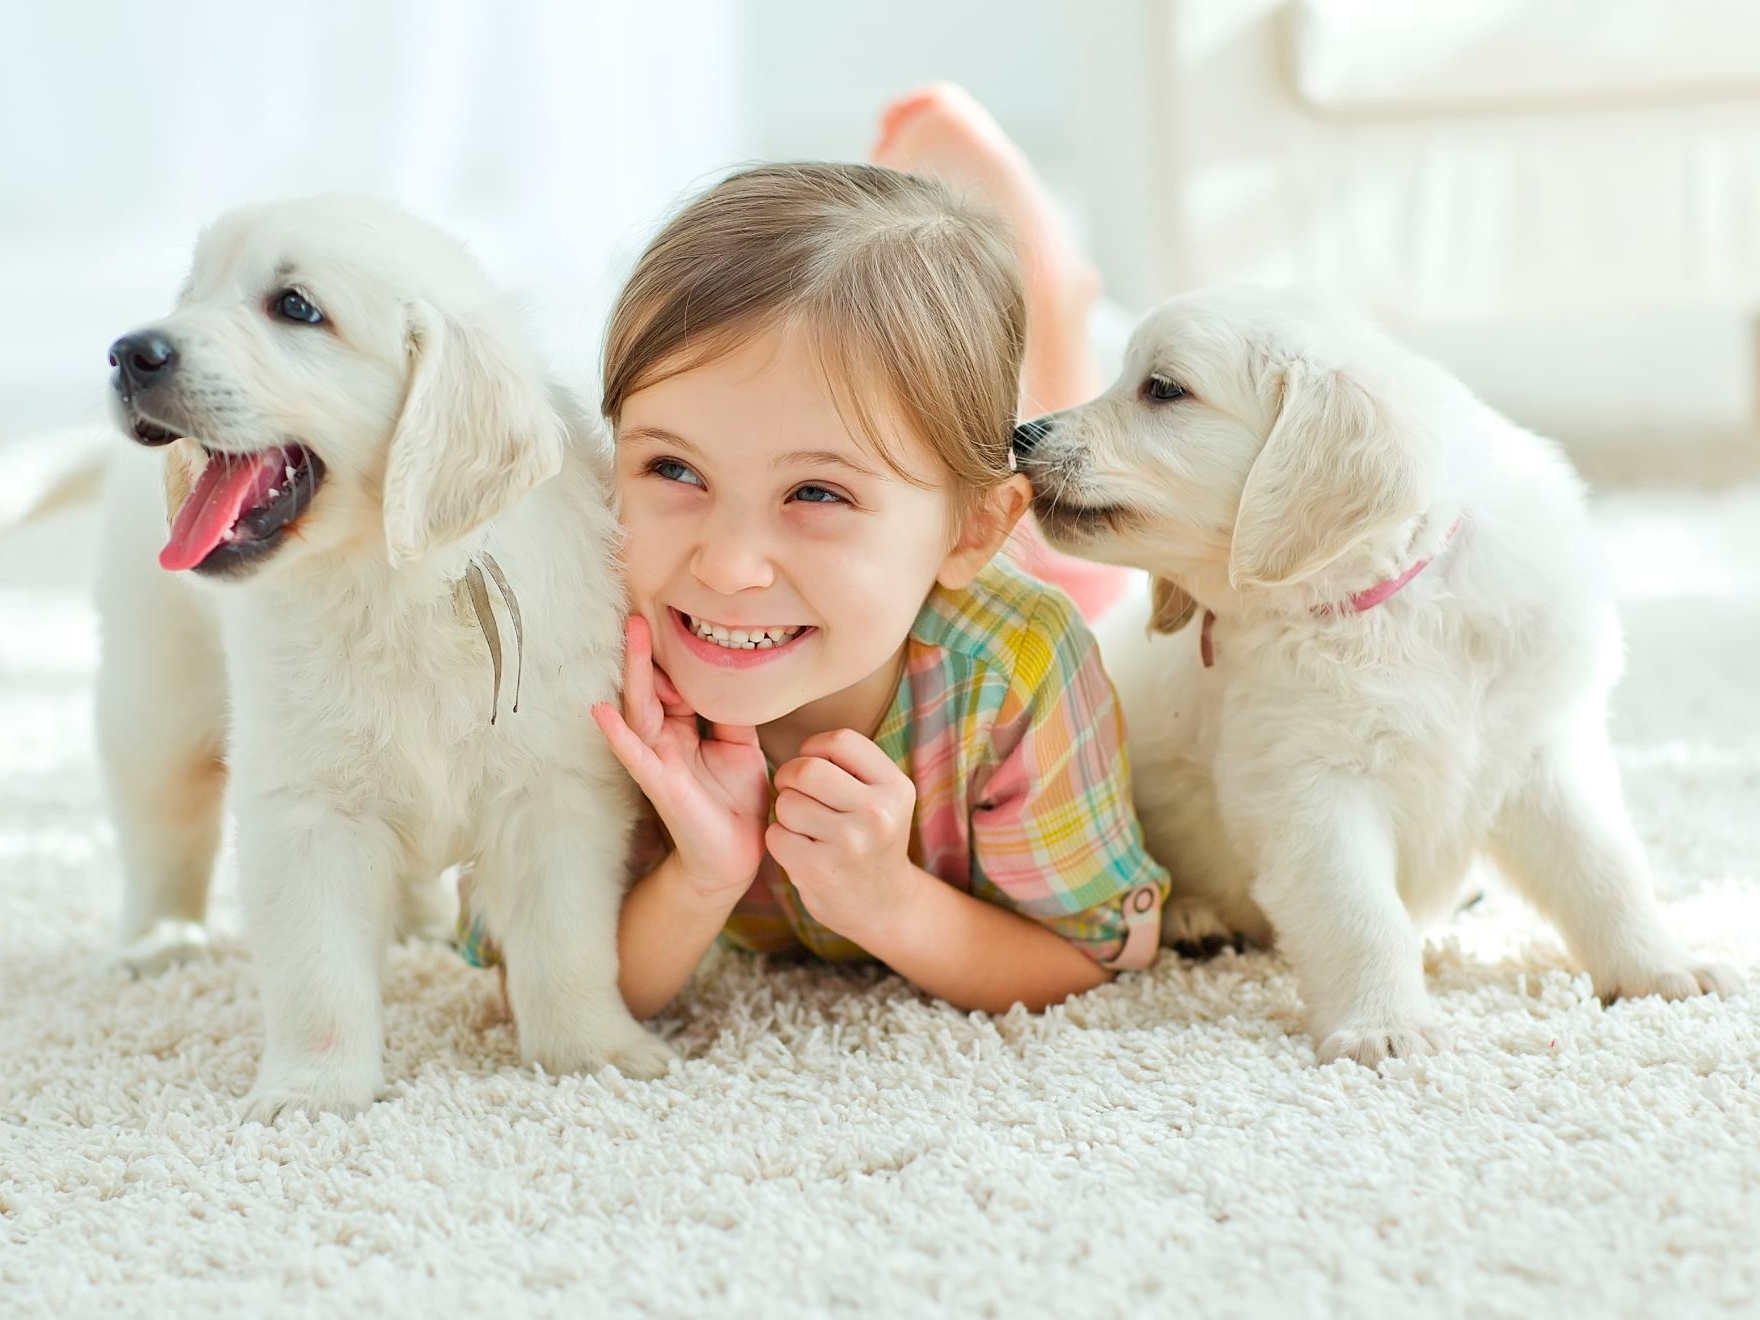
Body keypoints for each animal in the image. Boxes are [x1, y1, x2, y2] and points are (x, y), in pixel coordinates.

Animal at [91, 196, 679, 1119]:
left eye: (296, 307)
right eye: (192, 294)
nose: (126, 351)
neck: (392, 582)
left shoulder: (559, 786)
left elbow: (568, 942)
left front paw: (594, 1052)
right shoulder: (304, 806)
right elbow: (318, 971)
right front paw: (314, 1092)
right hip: (156, 691)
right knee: (162, 827)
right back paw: (159, 941)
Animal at [1013, 286, 1738, 1063]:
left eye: (1164, 389)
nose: (1021, 435)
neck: (1390, 607)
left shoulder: (1542, 751)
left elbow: (1606, 871)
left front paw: (1662, 969)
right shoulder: (1308, 784)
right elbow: (1359, 913)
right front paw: (1384, 1025)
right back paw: (1194, 919)